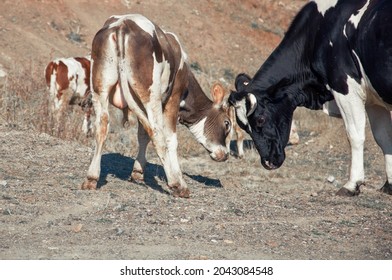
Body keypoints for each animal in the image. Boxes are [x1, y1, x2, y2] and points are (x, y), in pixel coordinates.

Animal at [81, 14, 231, 198]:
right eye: (227, 123)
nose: (225, 155)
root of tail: (123, 24)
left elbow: (142, 135)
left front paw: (138, 172)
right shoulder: (173, 98)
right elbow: (171, 140)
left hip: (100, 86)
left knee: (102, 126)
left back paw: (91, 178)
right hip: (151, 95)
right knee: (157, 133)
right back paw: (177, 185)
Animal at [228, 0, 392, 196]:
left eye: (260, 119)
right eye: (244, 126)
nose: (268, 162)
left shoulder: (346, 88)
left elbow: (355, 135)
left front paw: (352, 184)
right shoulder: (374, 100)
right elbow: (383, 137)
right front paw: (389, 184)